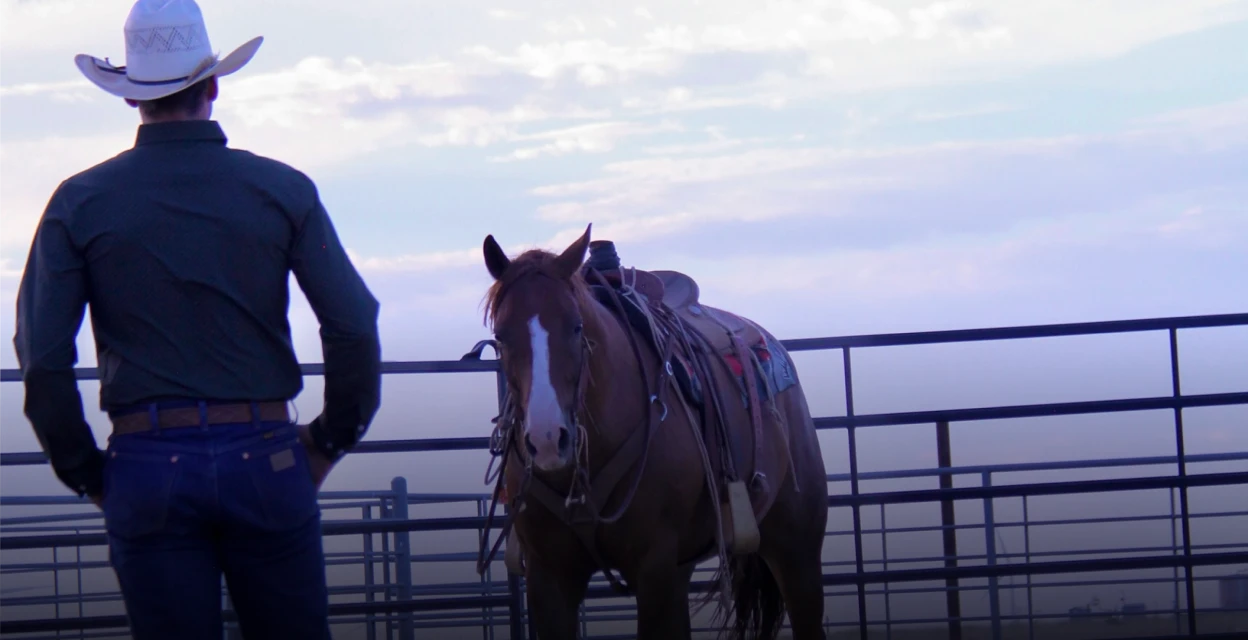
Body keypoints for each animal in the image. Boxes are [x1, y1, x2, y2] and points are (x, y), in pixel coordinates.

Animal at [473, 224, 829, 639]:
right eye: (501, 336)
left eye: (576, 327)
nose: (547, 440)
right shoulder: (549, 576)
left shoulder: (654, 567)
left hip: (797, 550)